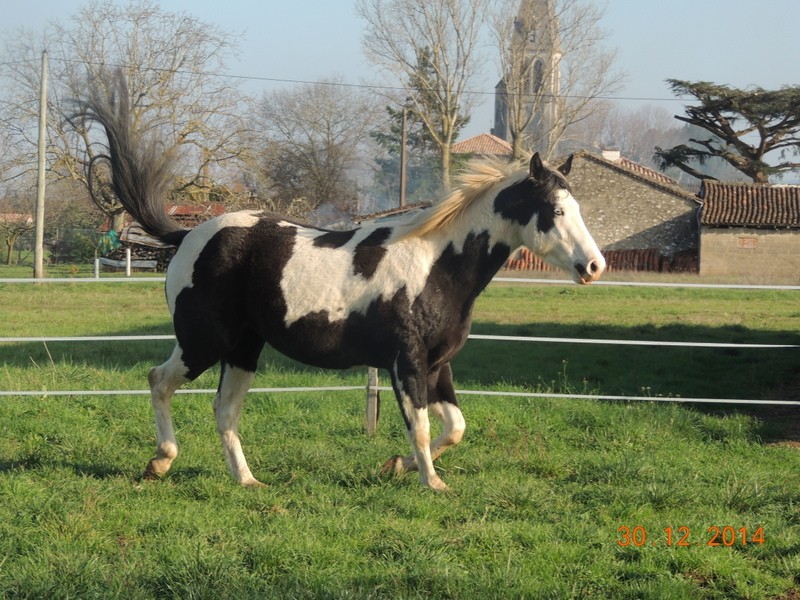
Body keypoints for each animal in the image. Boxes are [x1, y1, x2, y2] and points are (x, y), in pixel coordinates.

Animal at [78, 72, 604, 490]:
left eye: (577, 207)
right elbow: (421, 428)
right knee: (159, 381)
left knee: (224, 411)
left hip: (244, 349)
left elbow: (454, 427)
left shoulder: (438, 366)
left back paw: (247, 481)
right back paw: (160, 462)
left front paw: (396, 466)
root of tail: (189, 234)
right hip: (204, 342)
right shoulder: (406, 364)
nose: (594, 266)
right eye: (556, 211)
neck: (437, 268)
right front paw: (431, 483)